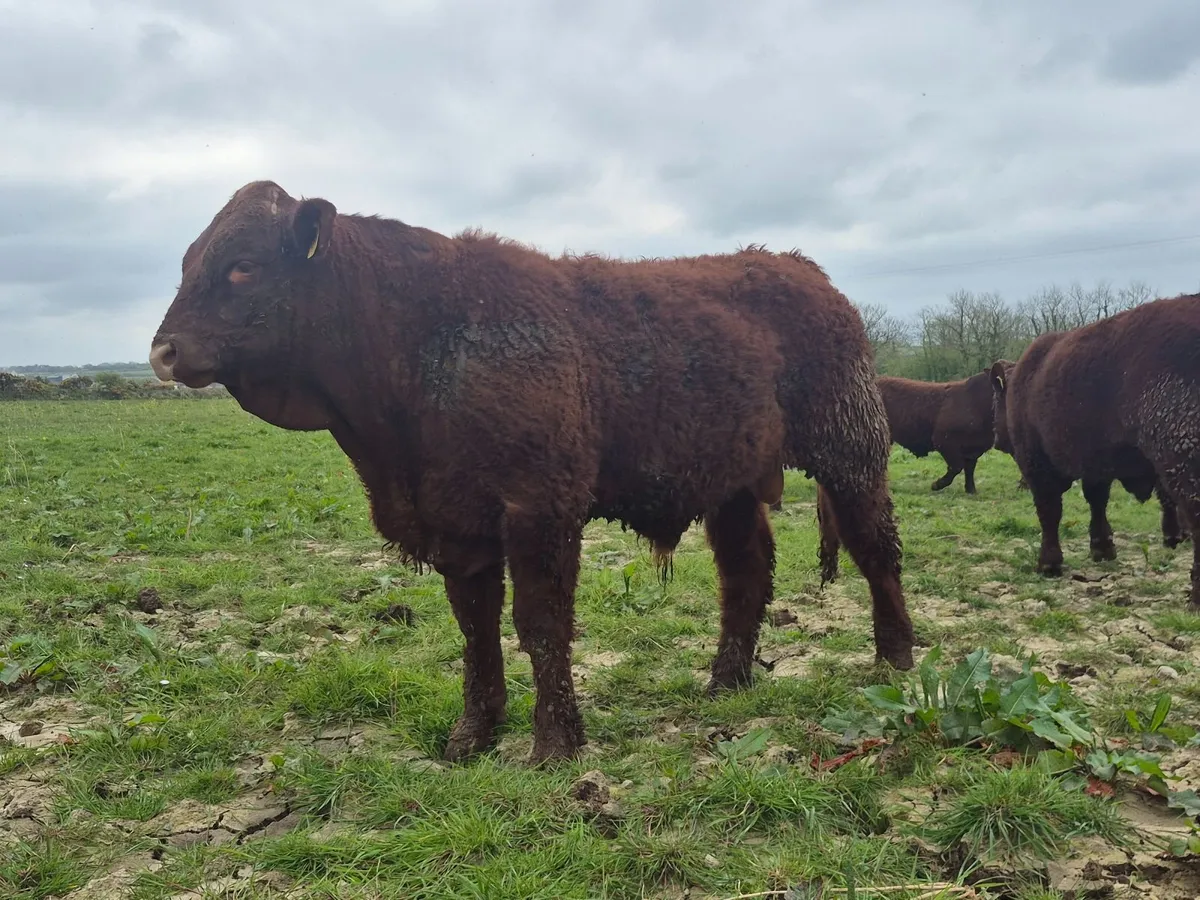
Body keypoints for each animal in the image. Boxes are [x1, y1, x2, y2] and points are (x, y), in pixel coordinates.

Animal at [148, 180, 916, 765]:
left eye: (243, 265)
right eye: (186, 261)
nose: (163, 351)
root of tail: (798, 266)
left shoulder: (541, 508)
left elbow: (540, 623)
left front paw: (555, 745)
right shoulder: (457, 522)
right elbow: (476, 629)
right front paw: (472, 736)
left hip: (850, 448)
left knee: (876, 549)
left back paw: (896, 661)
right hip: (729, 483)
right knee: (748, 570)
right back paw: (726, 680)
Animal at [989, 292, 1200, 606]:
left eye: (995, 401)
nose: (995, 437)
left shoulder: (1036, 464)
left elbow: (1049, 511)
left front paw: (1048, 563)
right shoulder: (1096, 464)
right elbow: (1097, 502)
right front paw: (1102, 548)